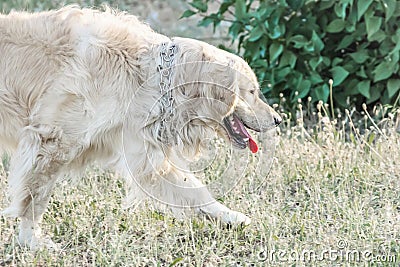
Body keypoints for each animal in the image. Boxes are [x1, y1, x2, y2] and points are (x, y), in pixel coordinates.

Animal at [0, 6, 282, 250]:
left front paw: (231, 217)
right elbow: (35, 198)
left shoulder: (144, 156)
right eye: (252, 92)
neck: (145, 74)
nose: (278, 120)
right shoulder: (52, 143)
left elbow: (195, 190)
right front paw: (32, 240)